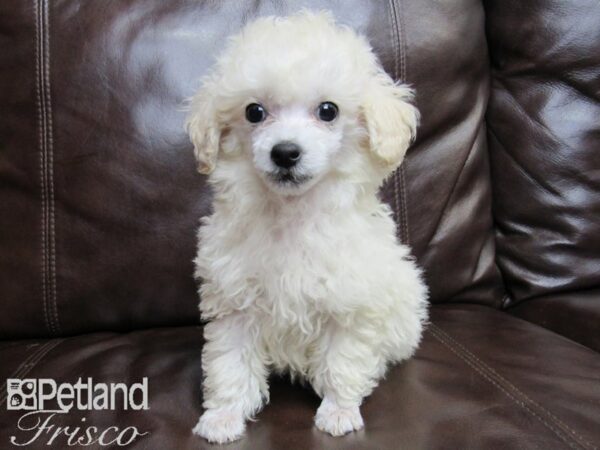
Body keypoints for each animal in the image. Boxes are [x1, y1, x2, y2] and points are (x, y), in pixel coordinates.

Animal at [186, 9, 426, 442]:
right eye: (254, 112)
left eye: (328, 110)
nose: (285, 152)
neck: (291, 214)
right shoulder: (235, 303)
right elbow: (230, 363)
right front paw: (223, 416)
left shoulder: (350, 304)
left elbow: (343, 360)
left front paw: (339, 411)